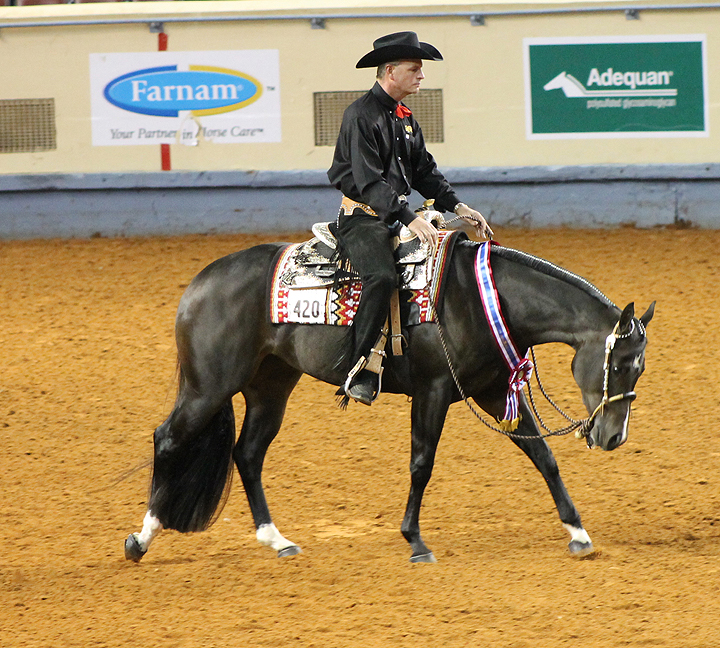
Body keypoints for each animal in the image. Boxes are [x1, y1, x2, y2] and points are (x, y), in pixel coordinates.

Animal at [126, 227, 656, 560]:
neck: (480, 297)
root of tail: (200, 283)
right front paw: (415, 541)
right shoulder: (433, 390)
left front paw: (578, 532)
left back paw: (277, 540)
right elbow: (422, 463)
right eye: (620, 364)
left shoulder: (489, 390)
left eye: (640, 368)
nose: (614, 437)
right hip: (209, 386)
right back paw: (141, 538)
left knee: (248, 454)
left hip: (270, 386)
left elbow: (542, 456)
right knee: (168, 439)